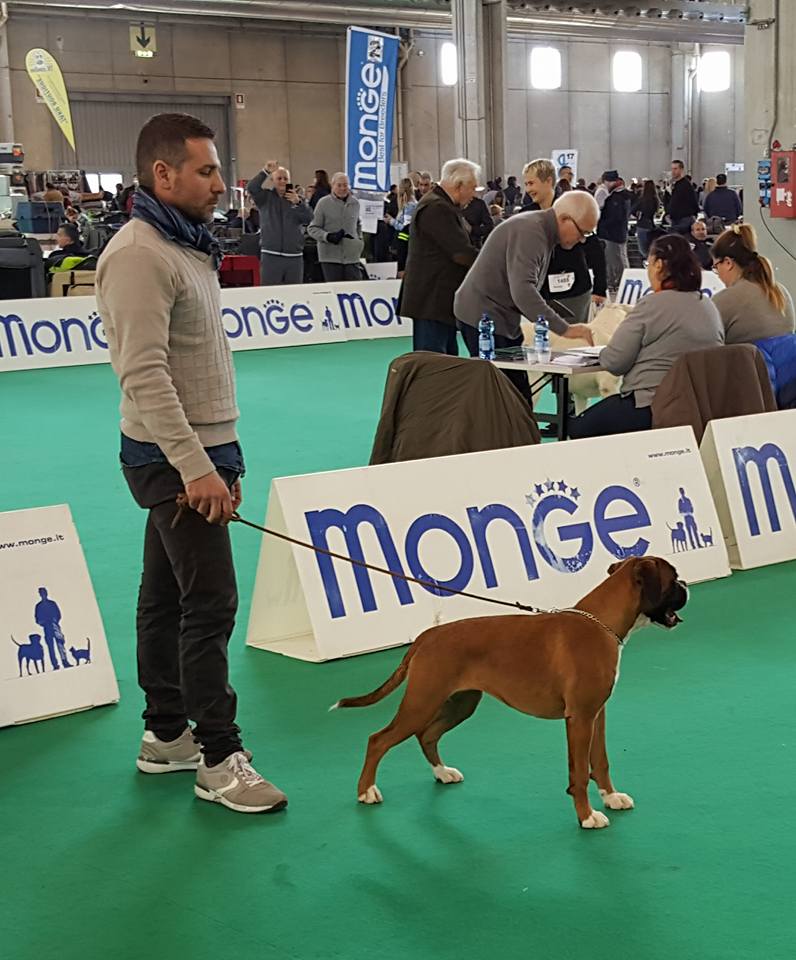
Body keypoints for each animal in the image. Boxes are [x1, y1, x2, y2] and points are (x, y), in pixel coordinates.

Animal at [333, 556, 688, 830]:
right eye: (673, 580)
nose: (685, 586)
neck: (600, 622)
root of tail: (427, 636)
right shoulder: (579, 718)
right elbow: (578, 773)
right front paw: (586, 816)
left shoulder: (596, 714)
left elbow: (599, 761)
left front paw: (612, 797)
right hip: (422, 702)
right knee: (379, 740)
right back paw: (366, 792)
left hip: (459, 704)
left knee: (427, 735)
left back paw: (442, 773)